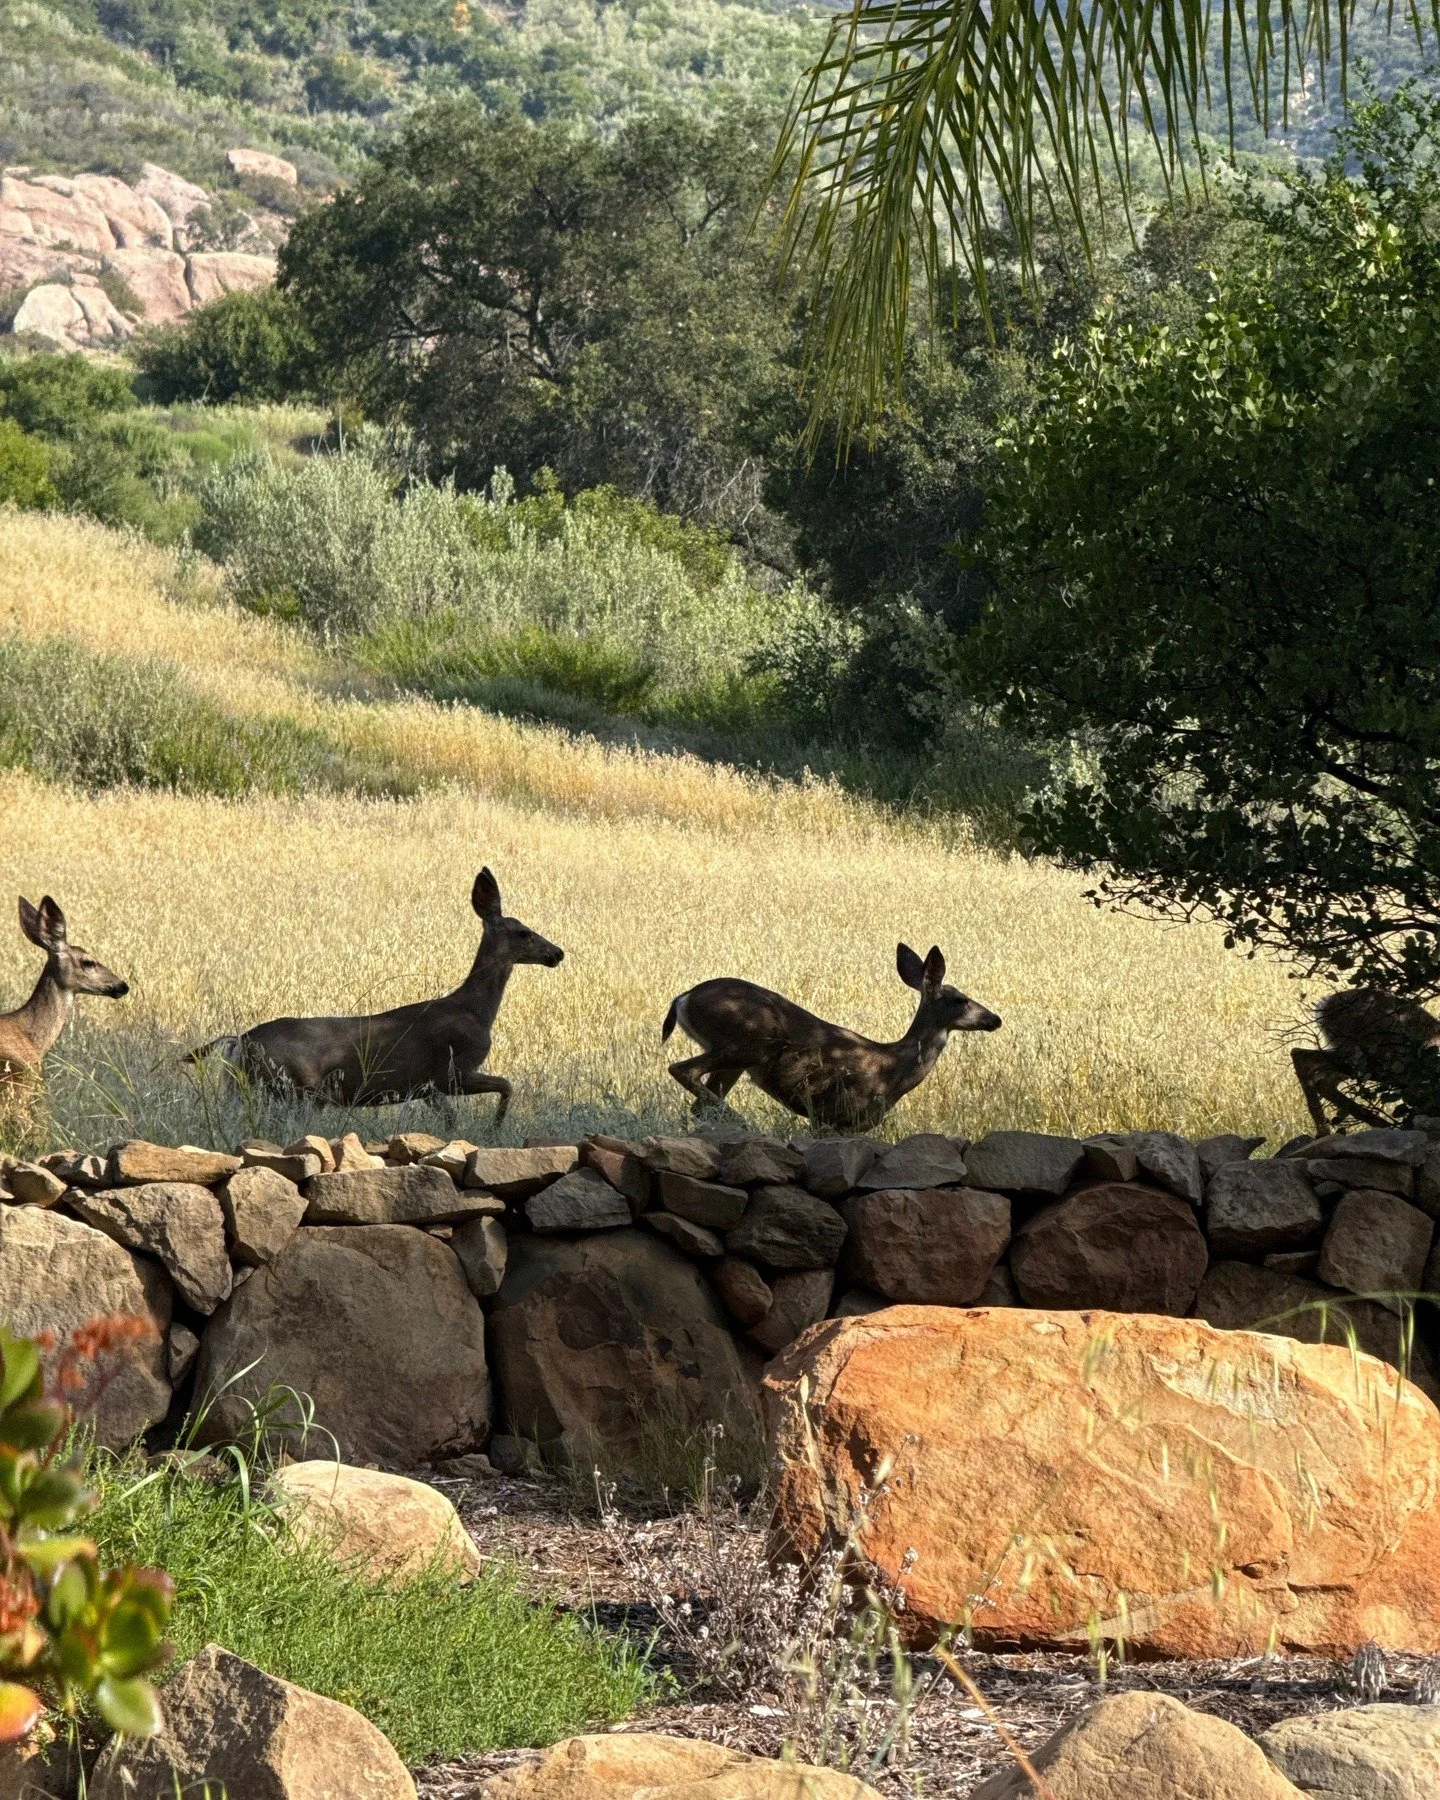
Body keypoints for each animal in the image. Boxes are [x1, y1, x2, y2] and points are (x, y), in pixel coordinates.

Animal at [189, 868, 562, 1124]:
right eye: (524, 932)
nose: (557, 953)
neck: (476, 1011)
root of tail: (241, 1040)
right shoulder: (451, 1071)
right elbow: (507, 1085)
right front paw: (496, 1126)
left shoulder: (427, 1089)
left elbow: (452, 1121)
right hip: (301, 1089)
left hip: (258, 1088)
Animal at [661, 944, 1001, 1131]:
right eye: (960, 999)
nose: (995, 1019)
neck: (892, 1070)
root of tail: (684, 998)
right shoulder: (830, 1114)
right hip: (748, 1040)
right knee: (682, 1069)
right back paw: (745, 1122)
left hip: (736, 1058)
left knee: (700, 1103)